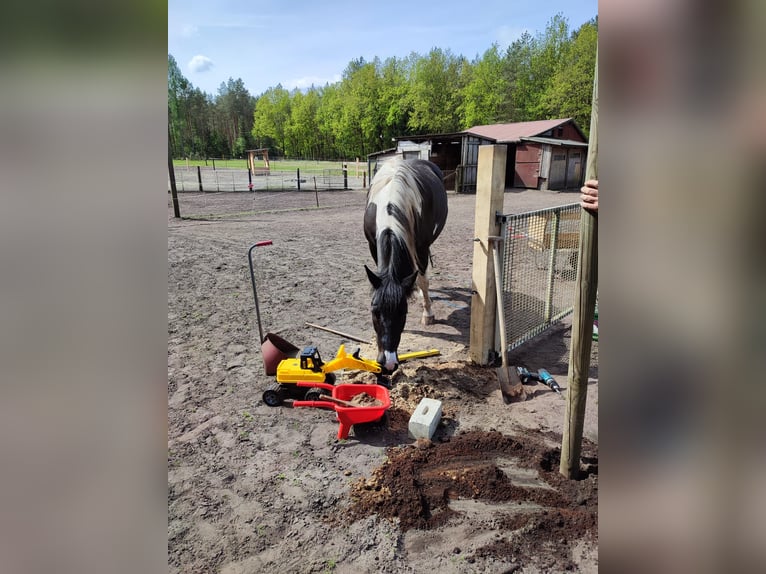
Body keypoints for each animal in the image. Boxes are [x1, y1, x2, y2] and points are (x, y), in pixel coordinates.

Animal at [363, 157, 448, 373]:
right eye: (374, 312)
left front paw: (428, 314)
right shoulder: (372, 245)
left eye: (404, 313)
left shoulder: (422, 247)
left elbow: (423, 280)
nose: (388, 363)